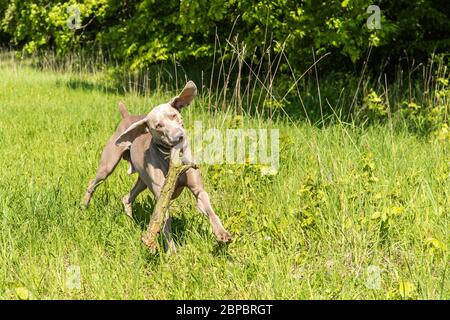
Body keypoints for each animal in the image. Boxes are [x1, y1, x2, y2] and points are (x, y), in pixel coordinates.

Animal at [82, 80, 232, 248]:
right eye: (158, 126)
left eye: (174, 115)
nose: (179, 137)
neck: (170, 157)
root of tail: (127, 116)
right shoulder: (162, 195)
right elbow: (164, 223)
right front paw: (171, 251)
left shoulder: (198, 188)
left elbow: (209, 208)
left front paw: (222, 233)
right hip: (108, 166)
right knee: (93, 182)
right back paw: (84, 206)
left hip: (142, 180)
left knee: (127, 198)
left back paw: (130, 222)